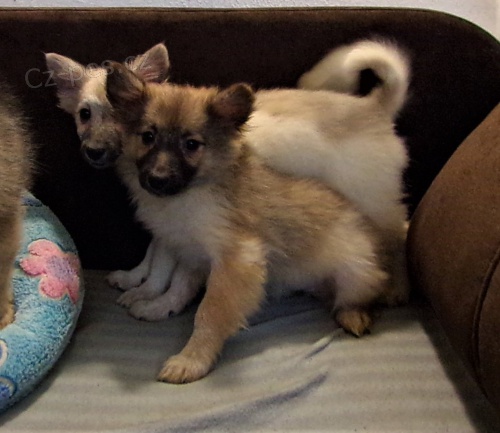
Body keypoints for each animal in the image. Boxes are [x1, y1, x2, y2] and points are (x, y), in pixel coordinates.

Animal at [106, 61, 391, 383]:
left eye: (191, 144)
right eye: (147, 137)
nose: (157, 179)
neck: (189, 197)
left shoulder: (236, 259)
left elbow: (208, 312)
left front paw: (192, 359)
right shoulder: (191, 253)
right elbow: (178, 287)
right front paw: (159, 307)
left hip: (358, 271)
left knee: (360, 297)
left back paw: (354, 315)